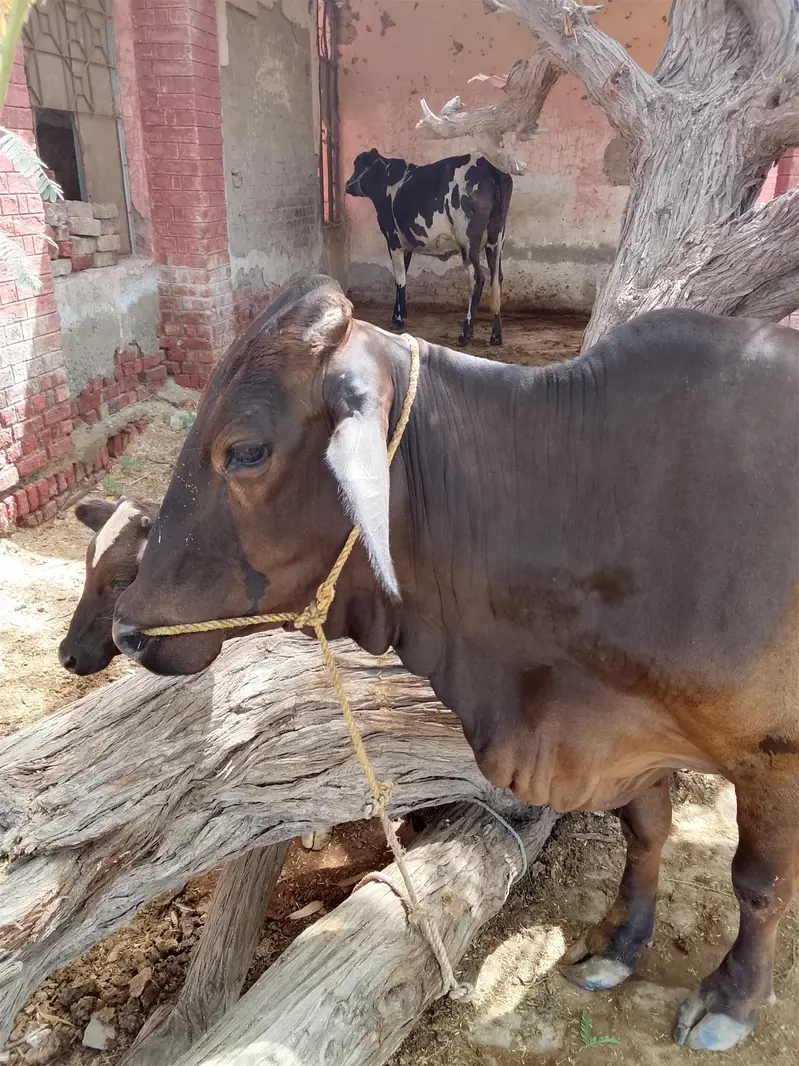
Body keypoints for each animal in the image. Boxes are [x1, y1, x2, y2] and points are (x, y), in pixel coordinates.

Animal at [113, 275, 798, 1052]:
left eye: (247, 451)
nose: (127, 628)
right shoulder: (629, 733)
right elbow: (645, 828)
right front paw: (620, 943)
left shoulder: (771, 758)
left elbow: (758, 884)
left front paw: (732, 1000)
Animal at [345, 149, 512, 348]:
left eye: (358, 165)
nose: (347, 185)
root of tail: (489, 166)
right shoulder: (406, 245)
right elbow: (401, 276)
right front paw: (398, 316)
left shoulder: (393, 240)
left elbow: (400, 279)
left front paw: (399, 320)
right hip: (496, 240)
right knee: (497, 278)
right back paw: (496, 336)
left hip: (468, 241)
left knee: (478, 278)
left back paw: (465, 334)